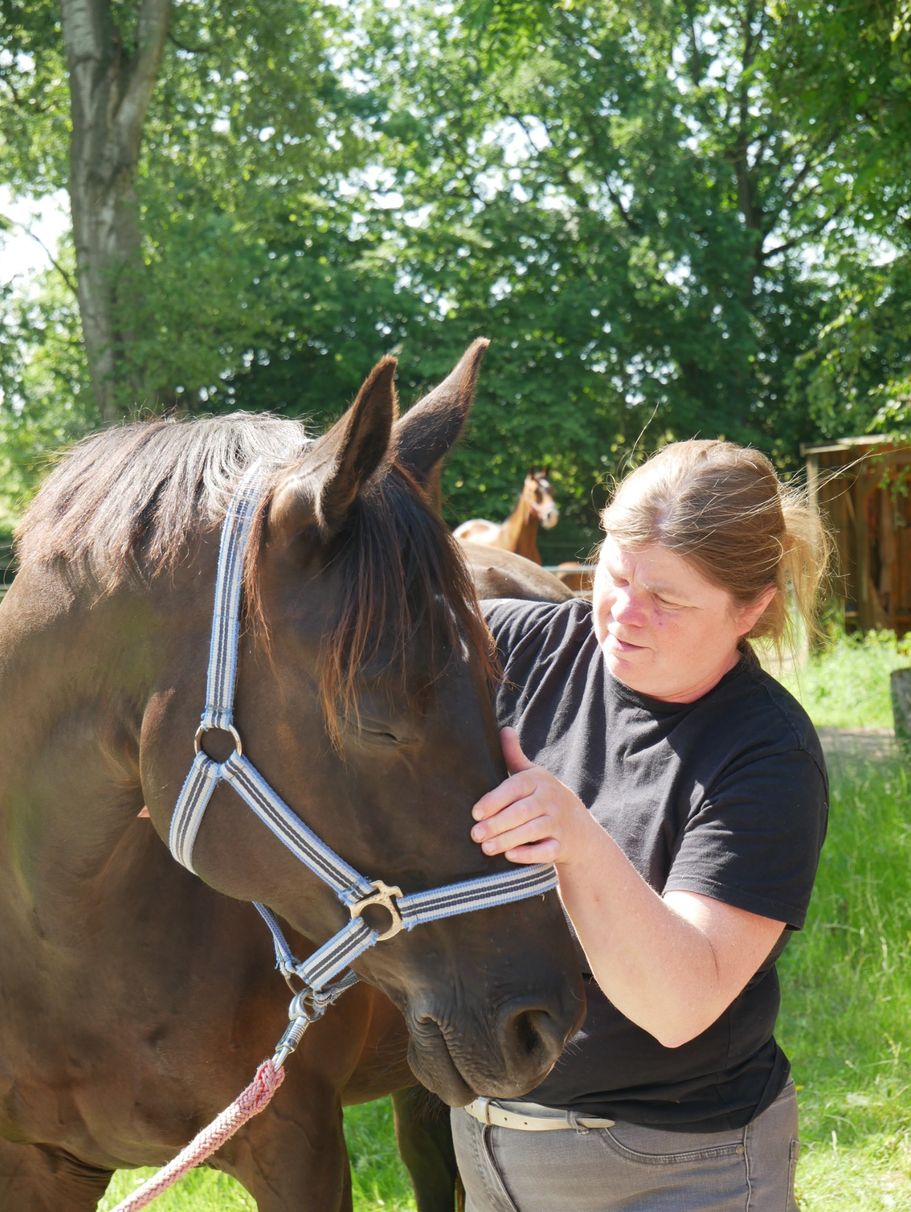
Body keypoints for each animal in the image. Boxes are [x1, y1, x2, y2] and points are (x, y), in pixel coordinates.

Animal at [0, 340, 586, 1212]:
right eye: (376, 711)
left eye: (499, 680)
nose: (548, 1017)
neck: (66, 948)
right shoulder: (39, 1165)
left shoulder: (298, 1147)